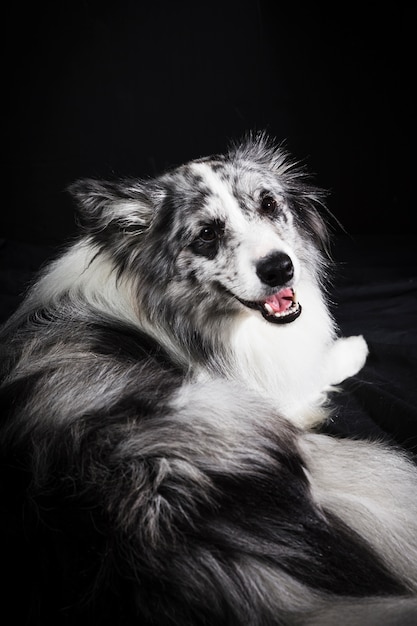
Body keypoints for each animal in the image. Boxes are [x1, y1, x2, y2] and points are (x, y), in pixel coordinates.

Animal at [0, 133, 416, 624]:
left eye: (269, 203)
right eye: (206, 235)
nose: (280, 268)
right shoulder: (276, 396)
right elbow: (313, 368)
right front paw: (353, 347)